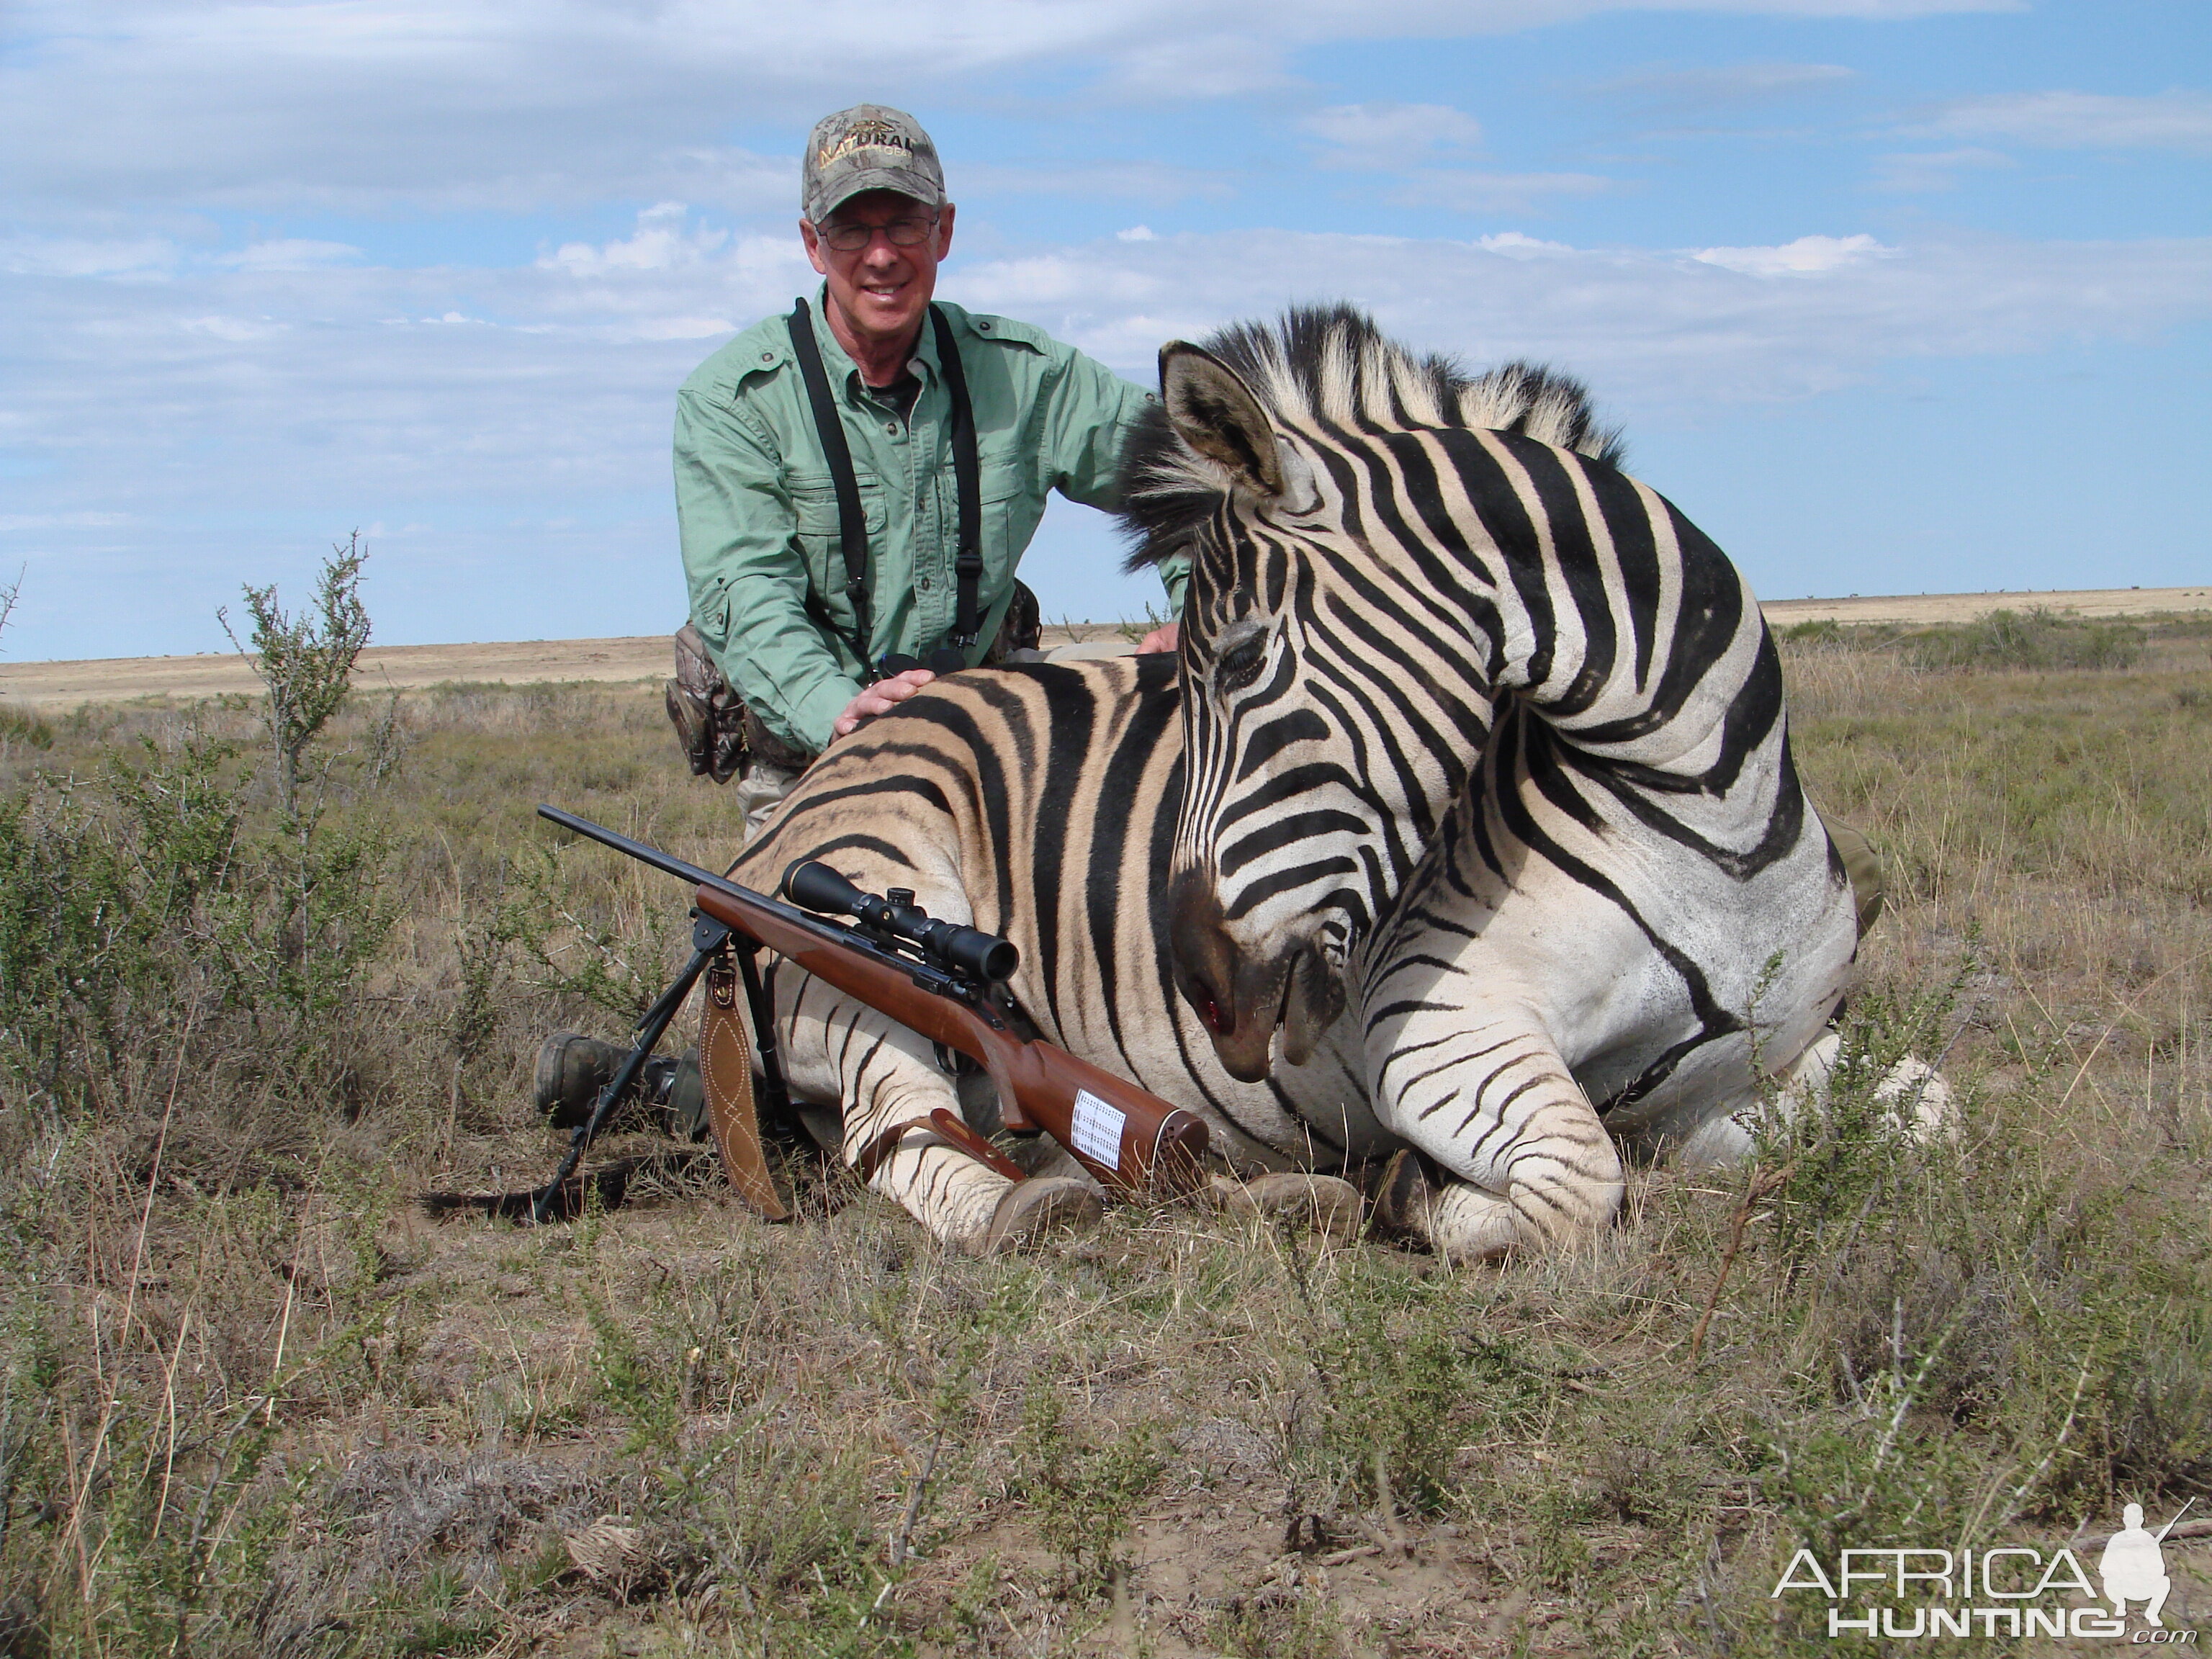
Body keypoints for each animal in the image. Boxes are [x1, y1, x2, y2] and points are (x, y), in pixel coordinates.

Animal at [725, 354, 1627, 1256]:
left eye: (1244, 661)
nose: (1208, 986)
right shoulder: (1446, 1025)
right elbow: (1576, 1178)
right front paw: (1420, 1197)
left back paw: (1268, 1194)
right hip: (866, 931)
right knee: (898, 1124)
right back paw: (1032, 1208)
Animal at [1123, 310, 1938, 1256]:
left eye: (1244, 659)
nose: (1201, 988)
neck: (1719, 828)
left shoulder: (1736, 1075)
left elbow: (1933, 1112)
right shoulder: (1435, 1015)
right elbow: (1579, 1178)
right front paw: (1413, 1193)